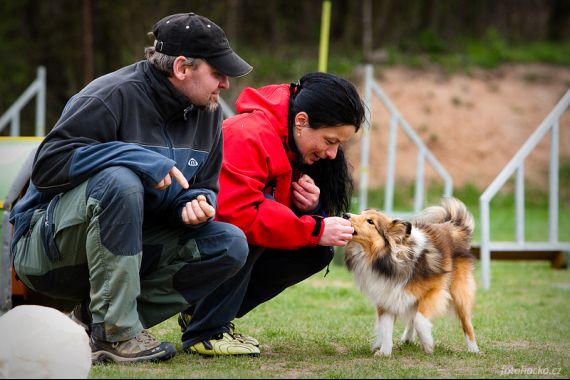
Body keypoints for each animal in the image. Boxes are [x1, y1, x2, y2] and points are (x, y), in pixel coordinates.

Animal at [342, 199, 480, 356]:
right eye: (361, 213)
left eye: (370, 221)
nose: (345, 215)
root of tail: (454, 226)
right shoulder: (386, 295)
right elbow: (386, 326)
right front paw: (385, 352)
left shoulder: (435, 290)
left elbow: (420, 319)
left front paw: (428, 343)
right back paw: (407, 338)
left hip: (459, 292)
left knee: (466, 321)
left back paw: (473, 349)